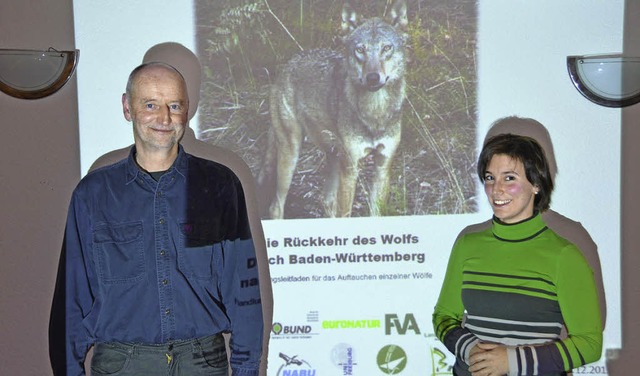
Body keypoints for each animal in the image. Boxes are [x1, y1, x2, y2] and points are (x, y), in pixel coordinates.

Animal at [260, 0, 410, 219]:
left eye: (386, 48)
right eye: (360, 50)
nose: (373, 78)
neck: (375, 112)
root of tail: (288, 64)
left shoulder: (382, 166)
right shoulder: (350, 168)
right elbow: (345, 213)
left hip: (333, 156)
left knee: (326, 200)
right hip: (292, 152)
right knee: (276, 206)